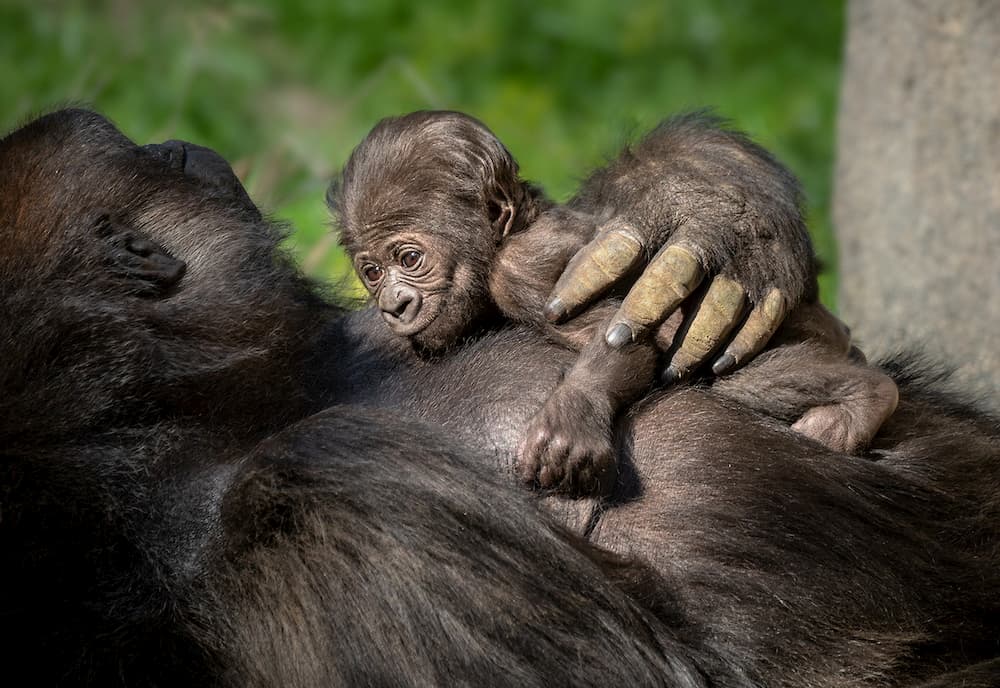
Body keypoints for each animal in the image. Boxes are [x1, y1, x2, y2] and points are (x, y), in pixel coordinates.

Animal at [334, 110, 900, 492]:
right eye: (371, 272)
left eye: (410, 258)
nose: (394, 305)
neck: (499, 245)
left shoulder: (522, 272)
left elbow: (629, 336)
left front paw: (575, 413)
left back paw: (866, 395)